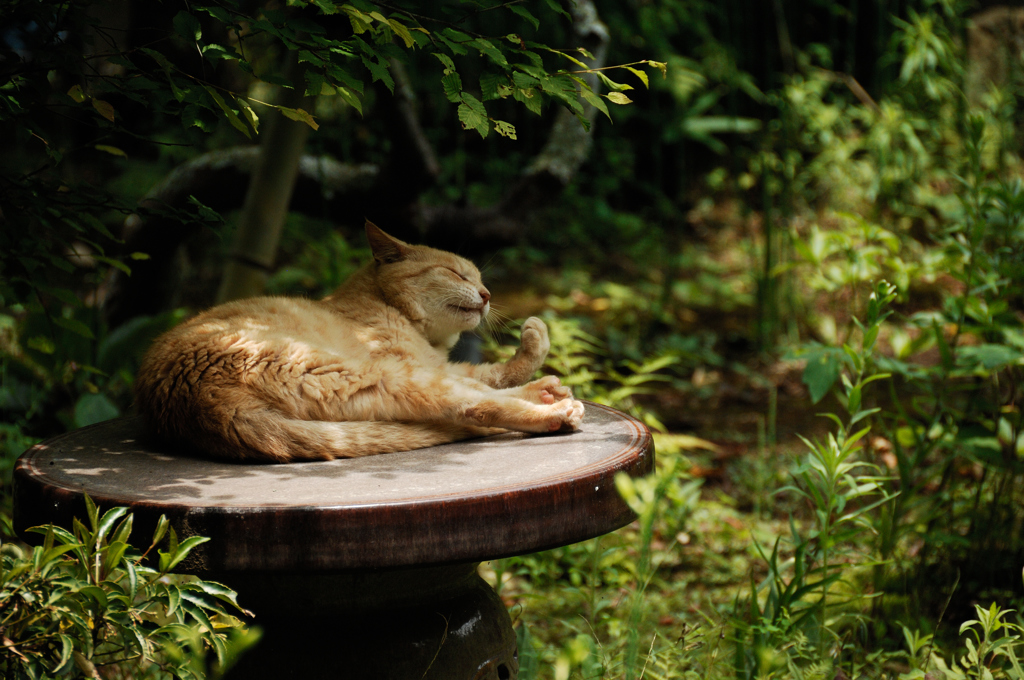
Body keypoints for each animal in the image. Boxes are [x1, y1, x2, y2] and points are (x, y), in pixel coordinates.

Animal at [135, 219, 585, 462]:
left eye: (479, 278)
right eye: (457, 274)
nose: (487, 294)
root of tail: (198, 405)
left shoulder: (438, 363)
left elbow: (491, 373)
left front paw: (539, 369)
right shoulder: (418, 364)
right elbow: (487, 382)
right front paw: (540, 363)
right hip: (380, 375)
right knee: (473, 406)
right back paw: (556, 412)